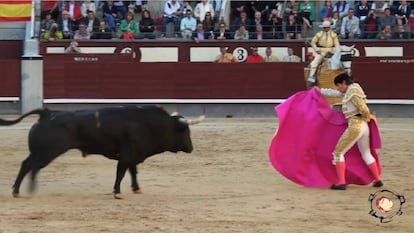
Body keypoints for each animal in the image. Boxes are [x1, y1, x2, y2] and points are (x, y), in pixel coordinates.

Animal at [0, 105, 204, 198]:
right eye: (185, 131)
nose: (191, 148)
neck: (150, 124)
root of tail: (47, 113)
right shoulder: (127, 154)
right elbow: (121, 172)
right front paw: (117, 192)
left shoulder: (132, 155)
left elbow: (133, 172)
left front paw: (136, 189)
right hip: (47, 152)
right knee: (32, 166)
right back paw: (26, 189)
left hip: (39, 152)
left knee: (27, 165)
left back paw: (19, 190)